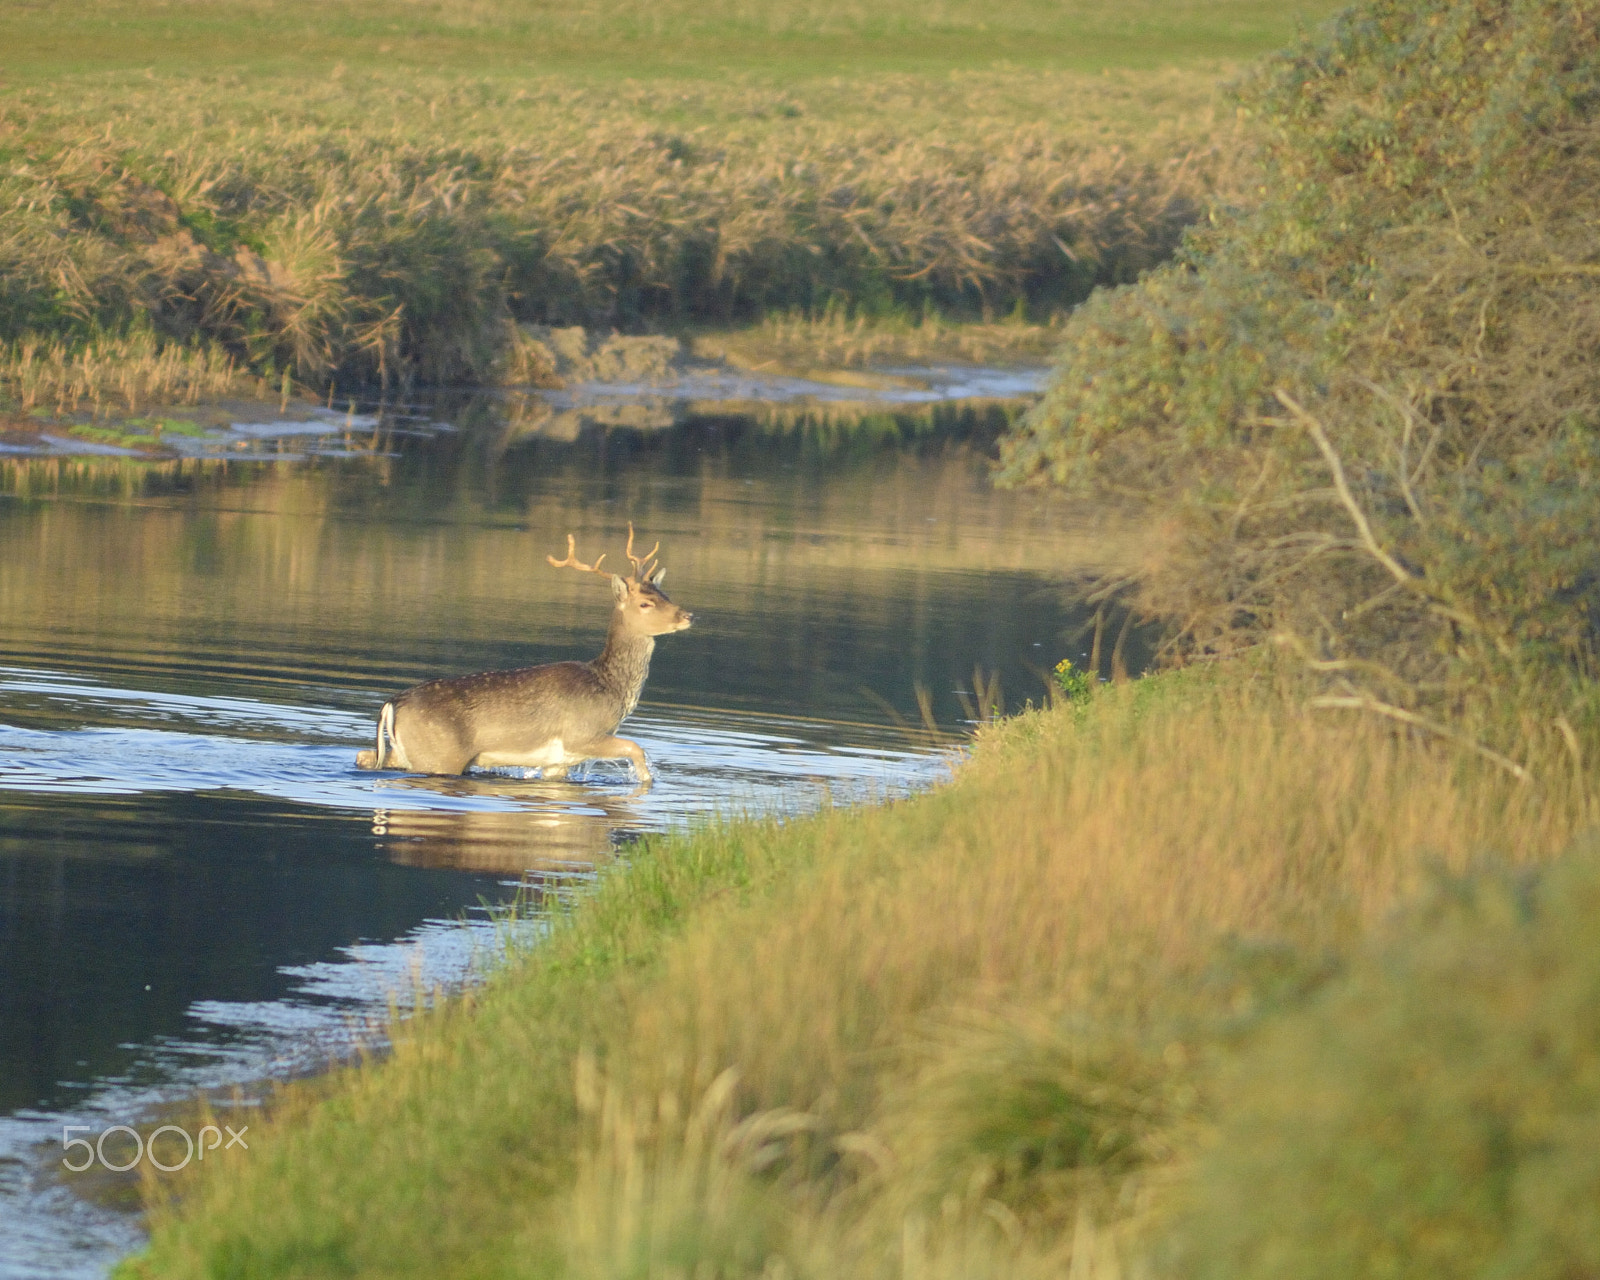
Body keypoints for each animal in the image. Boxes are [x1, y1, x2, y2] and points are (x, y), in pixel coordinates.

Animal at [353, 524, 691, 784]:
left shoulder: (558, 761)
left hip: (408, 750)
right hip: (439, 755)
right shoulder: (581, 734)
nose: (687, 615)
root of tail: (392, 703)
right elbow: (637, 748)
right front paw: (647, 783)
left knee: (365, 755)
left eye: (665, 594)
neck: (609, 688)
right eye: (645, 603)